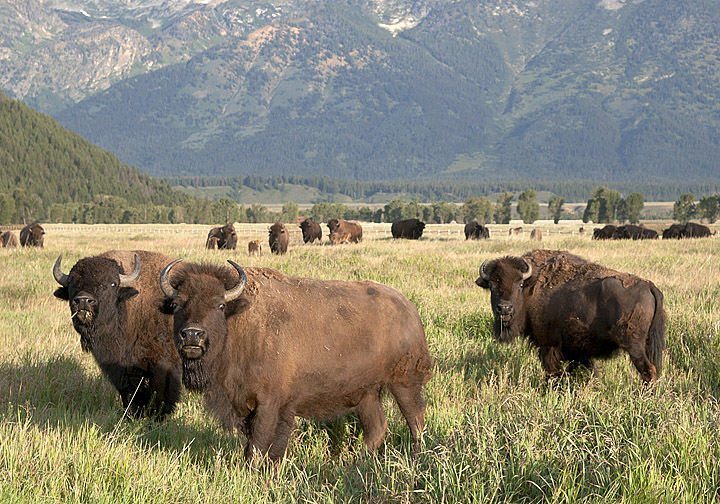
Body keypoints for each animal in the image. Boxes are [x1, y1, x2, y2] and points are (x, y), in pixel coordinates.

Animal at [53, 250, 183, 419]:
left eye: (112, 283)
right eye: (71, 283)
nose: (83, 301)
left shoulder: (163, 367)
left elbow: (160, 396)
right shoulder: (122, 370)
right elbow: (130, 393)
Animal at [157, 259, 433, 461]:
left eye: (220, 305)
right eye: (177, 304)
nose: (192, 335)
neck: (239, 323)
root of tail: (408, 307)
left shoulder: (269, 405)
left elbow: (257, 447)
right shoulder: (247, 405)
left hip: (404, 383)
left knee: (415, 418)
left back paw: (417, 456)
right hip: (367, 394)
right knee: (376, 427)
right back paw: (358, 461)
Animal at [476, 249, 666, 383]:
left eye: (520, 284)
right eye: (491, 285)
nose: (504, 309)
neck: (532, 286)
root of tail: (648, 285)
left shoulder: (549, 345)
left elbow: (552, 372)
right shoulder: (576, 351)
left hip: (634, 346)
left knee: (648, 370)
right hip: (648, 343)